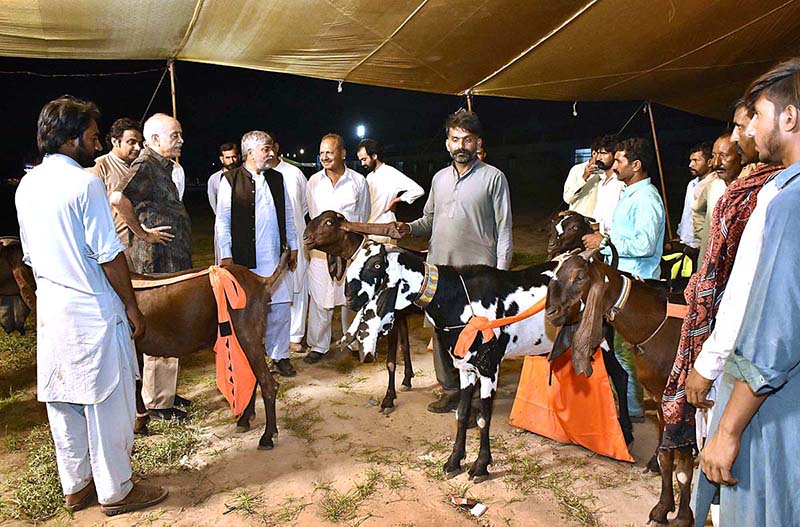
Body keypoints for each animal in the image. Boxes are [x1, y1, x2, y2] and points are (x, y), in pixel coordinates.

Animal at [0, 238, 288, 450]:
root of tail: (260, 282)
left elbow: (135, 388)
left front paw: (139, 426)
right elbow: (138, 387)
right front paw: (143, 423)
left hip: (245, 332)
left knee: (268, 383)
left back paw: (267, 436)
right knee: (253, 377)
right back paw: (244, 419)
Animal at [304, 212, 416, 414]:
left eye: (329, 222)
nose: (305, 238)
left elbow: (390, 362)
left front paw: (388, 400)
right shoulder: (401, 316)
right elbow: (405, 347)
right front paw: (406, 380)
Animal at [342, 242, 564, 482]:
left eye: (375, 264)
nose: (350, 298)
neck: (458, 298)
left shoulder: (489, 368)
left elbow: (483, 418)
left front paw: (480, 466)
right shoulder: (466, 368)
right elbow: (461, 414)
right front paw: (454, 461)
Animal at [548, 253, 692, 527]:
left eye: (579, 276)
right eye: (554, 274)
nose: (551, 311)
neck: (659, 323)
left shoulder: (684, 406)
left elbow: (683, 467)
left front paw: (682, 518)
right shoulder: (660, 399)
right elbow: (666, 458)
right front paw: (661, 509)